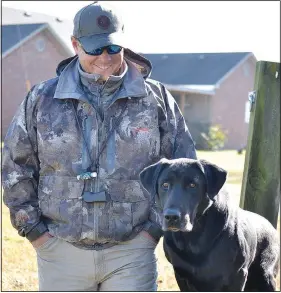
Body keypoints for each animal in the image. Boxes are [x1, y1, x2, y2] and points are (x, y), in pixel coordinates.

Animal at [139, 159, 278, 290]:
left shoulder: (237, 276)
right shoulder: (181, 275)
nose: (172, 216)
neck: (194, 239)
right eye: (165, 185)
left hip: (266, 275)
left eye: (192, 185)